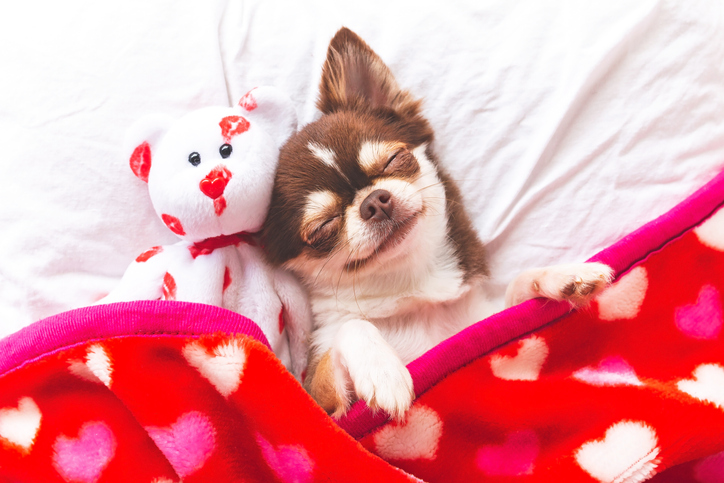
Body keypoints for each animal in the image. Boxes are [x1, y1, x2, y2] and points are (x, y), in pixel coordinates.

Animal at [260, 27, 612, 420]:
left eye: (395, 159)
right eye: (323, 227)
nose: (374, 202)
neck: (415, 288)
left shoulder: (482, 323)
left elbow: (515, 292)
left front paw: (562, 275)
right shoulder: (325, 405)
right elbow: (351, 326)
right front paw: (383, 370)